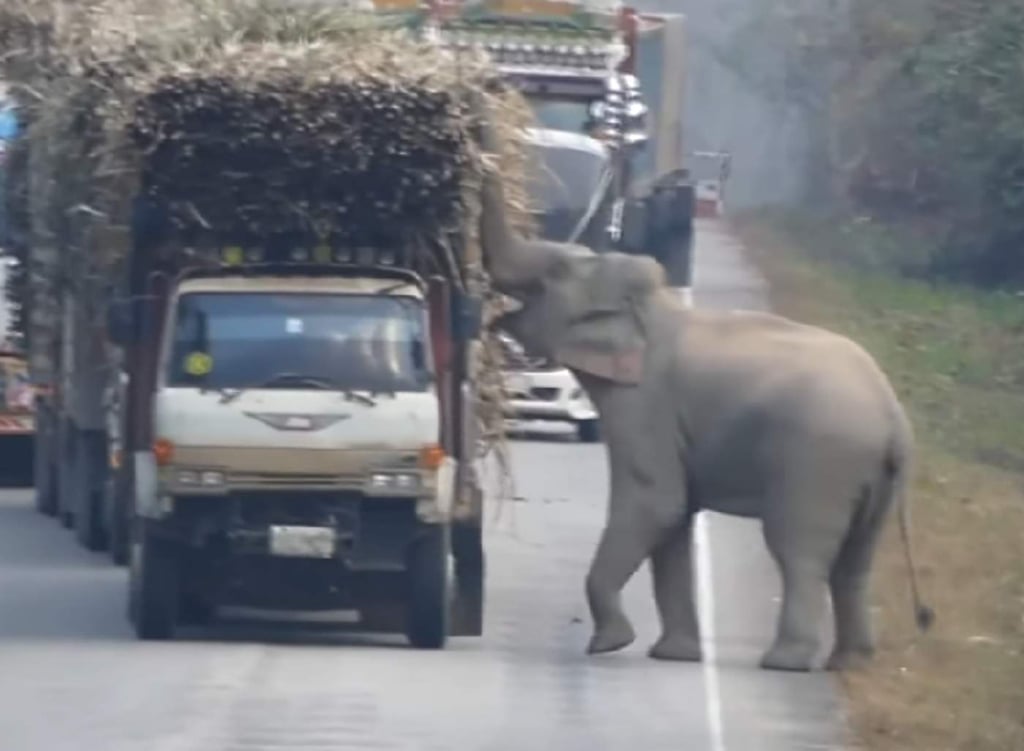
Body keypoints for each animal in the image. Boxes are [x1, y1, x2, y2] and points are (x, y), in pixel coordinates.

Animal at [472, 104, 934, 672]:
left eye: (554, 273)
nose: (480, 116)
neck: (655, 308)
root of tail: (894, 421)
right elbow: (674, 523)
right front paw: (673, 655)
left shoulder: (645, 403)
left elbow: (656, 504)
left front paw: (609, 644)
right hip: (874, 479)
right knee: (856, 559)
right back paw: (848, 663)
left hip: (819, 461)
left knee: (799, 550)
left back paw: (784, 662)